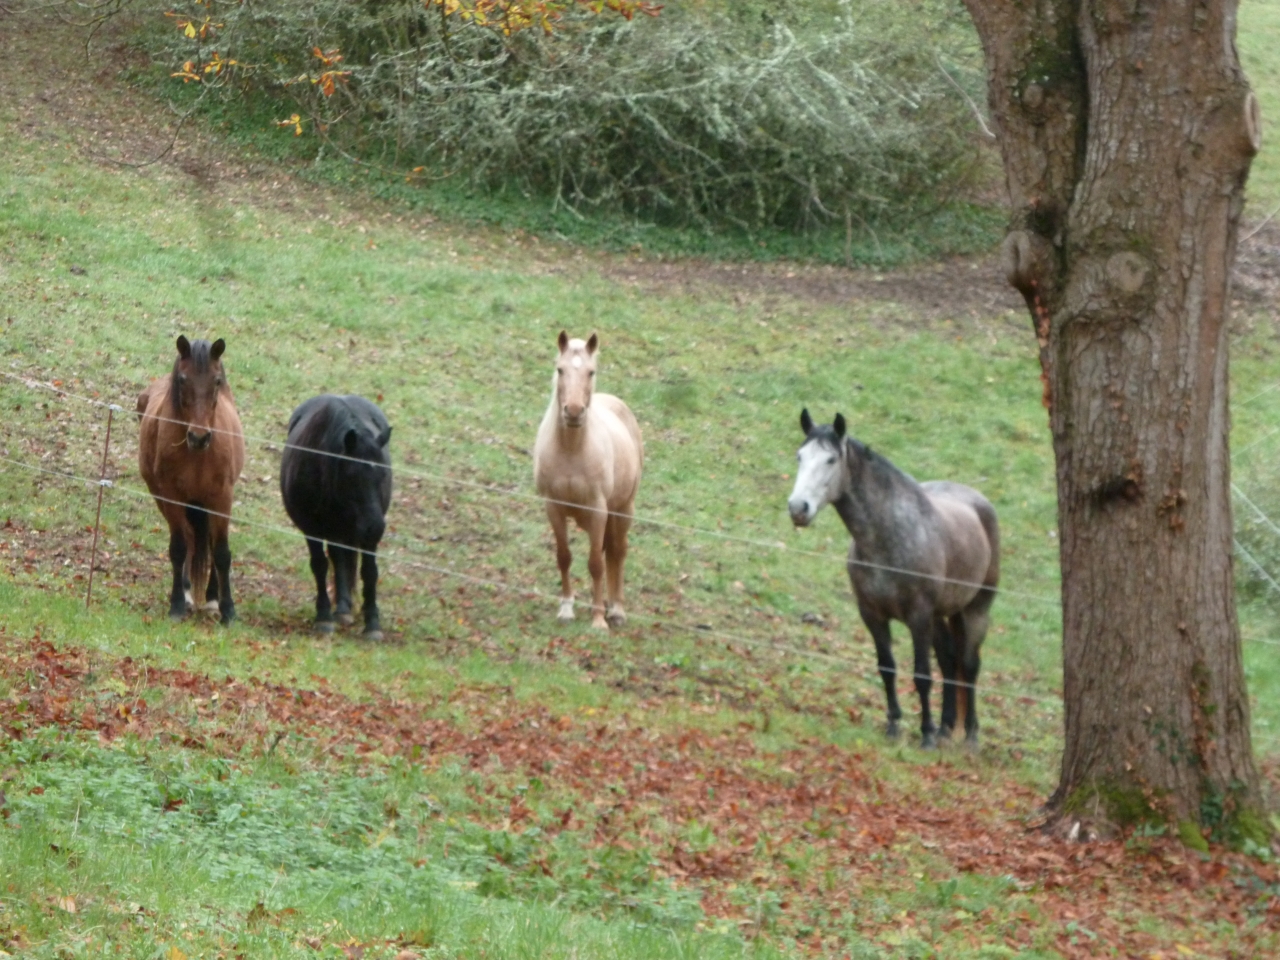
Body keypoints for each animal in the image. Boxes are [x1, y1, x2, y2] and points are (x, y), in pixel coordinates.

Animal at [137, 336, 246, 624]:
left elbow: (221, 552)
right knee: (187, 537)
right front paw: (176, 604)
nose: (199, 437)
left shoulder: (222, 498)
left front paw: (227, 609)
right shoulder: (171, 496)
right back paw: (186, 595)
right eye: (183, 379)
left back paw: (211, 598)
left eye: (216, 381)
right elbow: (178, 547)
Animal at [280, 395, 392, 641]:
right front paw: (323, 617)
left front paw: (372, 623)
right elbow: (320, 565)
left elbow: (369, 572)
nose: (375, 527)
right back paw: (340, 610)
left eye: (383, 474)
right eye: (352, 477)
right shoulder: (311, 528)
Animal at [533, 331, 643, 630]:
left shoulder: (597, 510)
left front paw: (597, 620)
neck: (572, 449)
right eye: (560, 369)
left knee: (618, 552)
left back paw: (615, 609)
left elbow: (596, 564)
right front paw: (566, 609)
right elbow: (564, 556)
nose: (573, 411)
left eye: (591, 372)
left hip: (623, 509)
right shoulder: (553, 507)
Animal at [787, 409, 999, 748]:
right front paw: (894, 725)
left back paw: (969, 736)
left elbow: (922, 674)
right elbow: (887, 668)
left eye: (831, 460)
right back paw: (945, 727)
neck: (887, 538)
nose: (798, 508)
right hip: (941, 616)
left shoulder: (918, 616)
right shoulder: (872, 614)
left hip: (975, 610)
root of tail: (978, 504)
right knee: (949, 661)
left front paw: (925, 735)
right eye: (800, 456)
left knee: (969, 666)